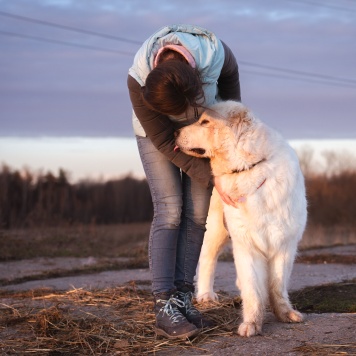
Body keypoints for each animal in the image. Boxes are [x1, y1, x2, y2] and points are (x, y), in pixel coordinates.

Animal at [177, 100, 308, 336]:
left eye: (205, 122)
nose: (174, 132)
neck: (249, 168)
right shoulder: (246, 243)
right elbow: (252, 287)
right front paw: (252, 323)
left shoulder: (284, 243)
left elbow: (277, 285)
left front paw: (285, 314)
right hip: (214, 230)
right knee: (207, 260)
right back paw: (205, 295)